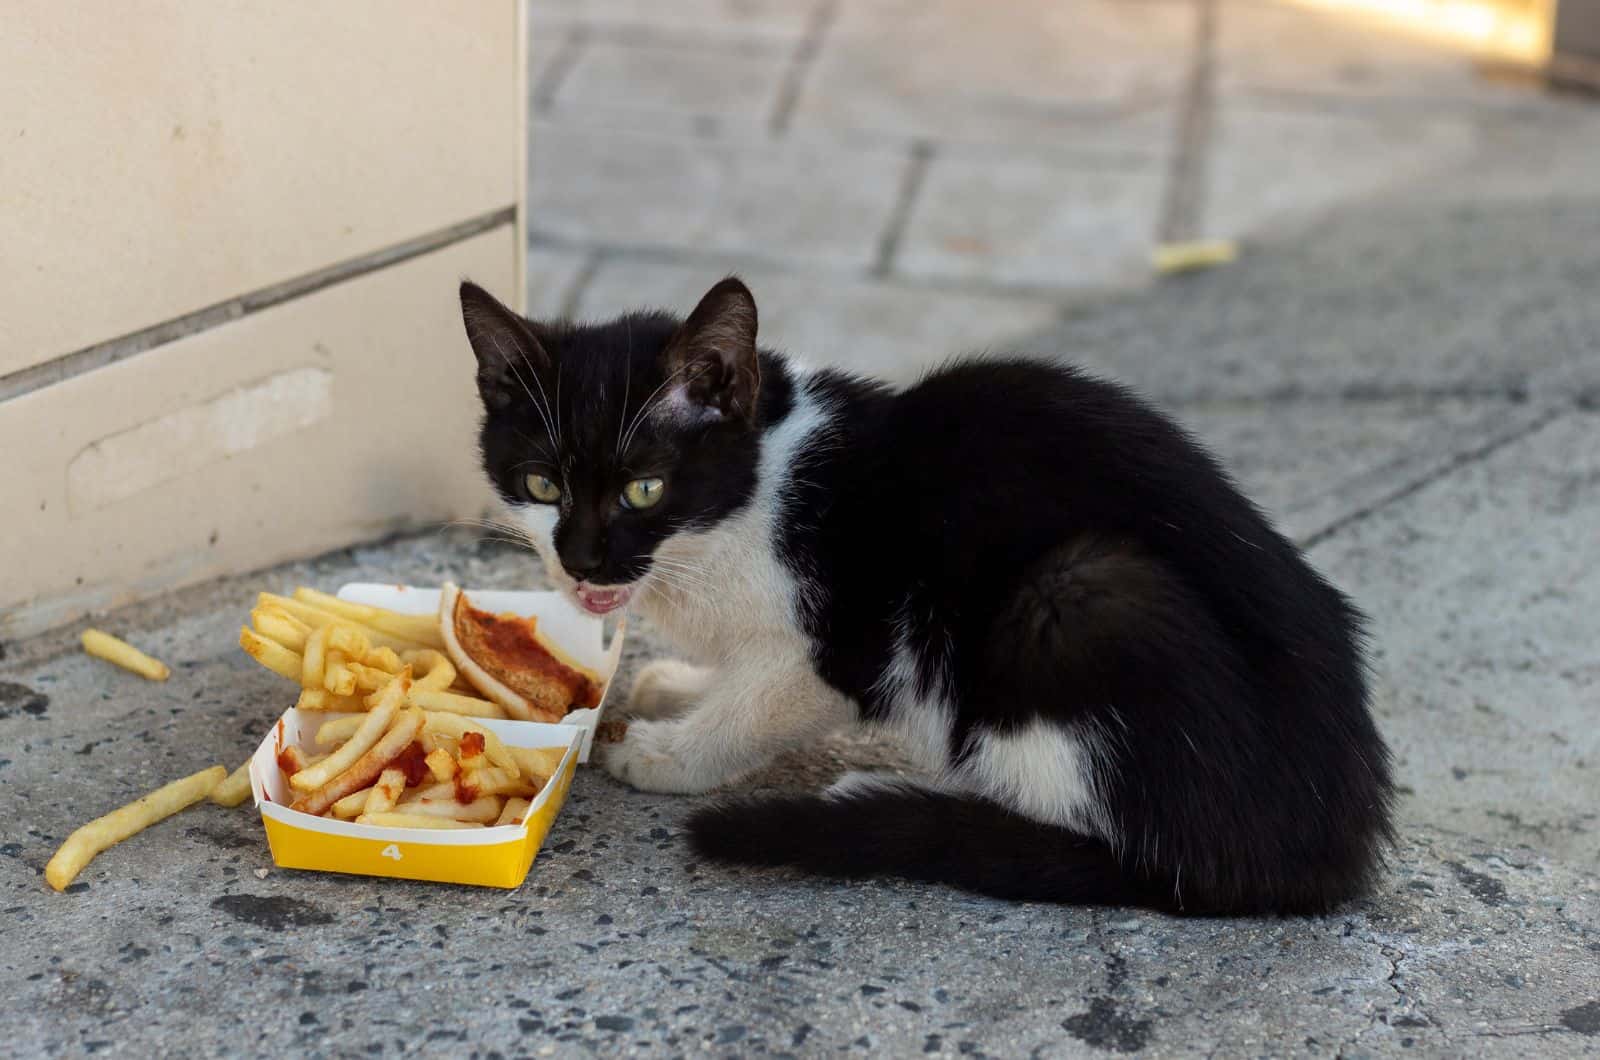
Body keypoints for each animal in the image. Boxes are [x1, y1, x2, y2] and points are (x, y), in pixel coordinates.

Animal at [457, 278, 1395, 915]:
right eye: (540, 484)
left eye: (644, 490)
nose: (582, 561)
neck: (757, 489)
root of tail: (1320, 848)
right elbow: (739, 671)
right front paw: (679, 686)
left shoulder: (854, 633)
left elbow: (761, 704)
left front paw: (670, 754)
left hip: (1081, 597)